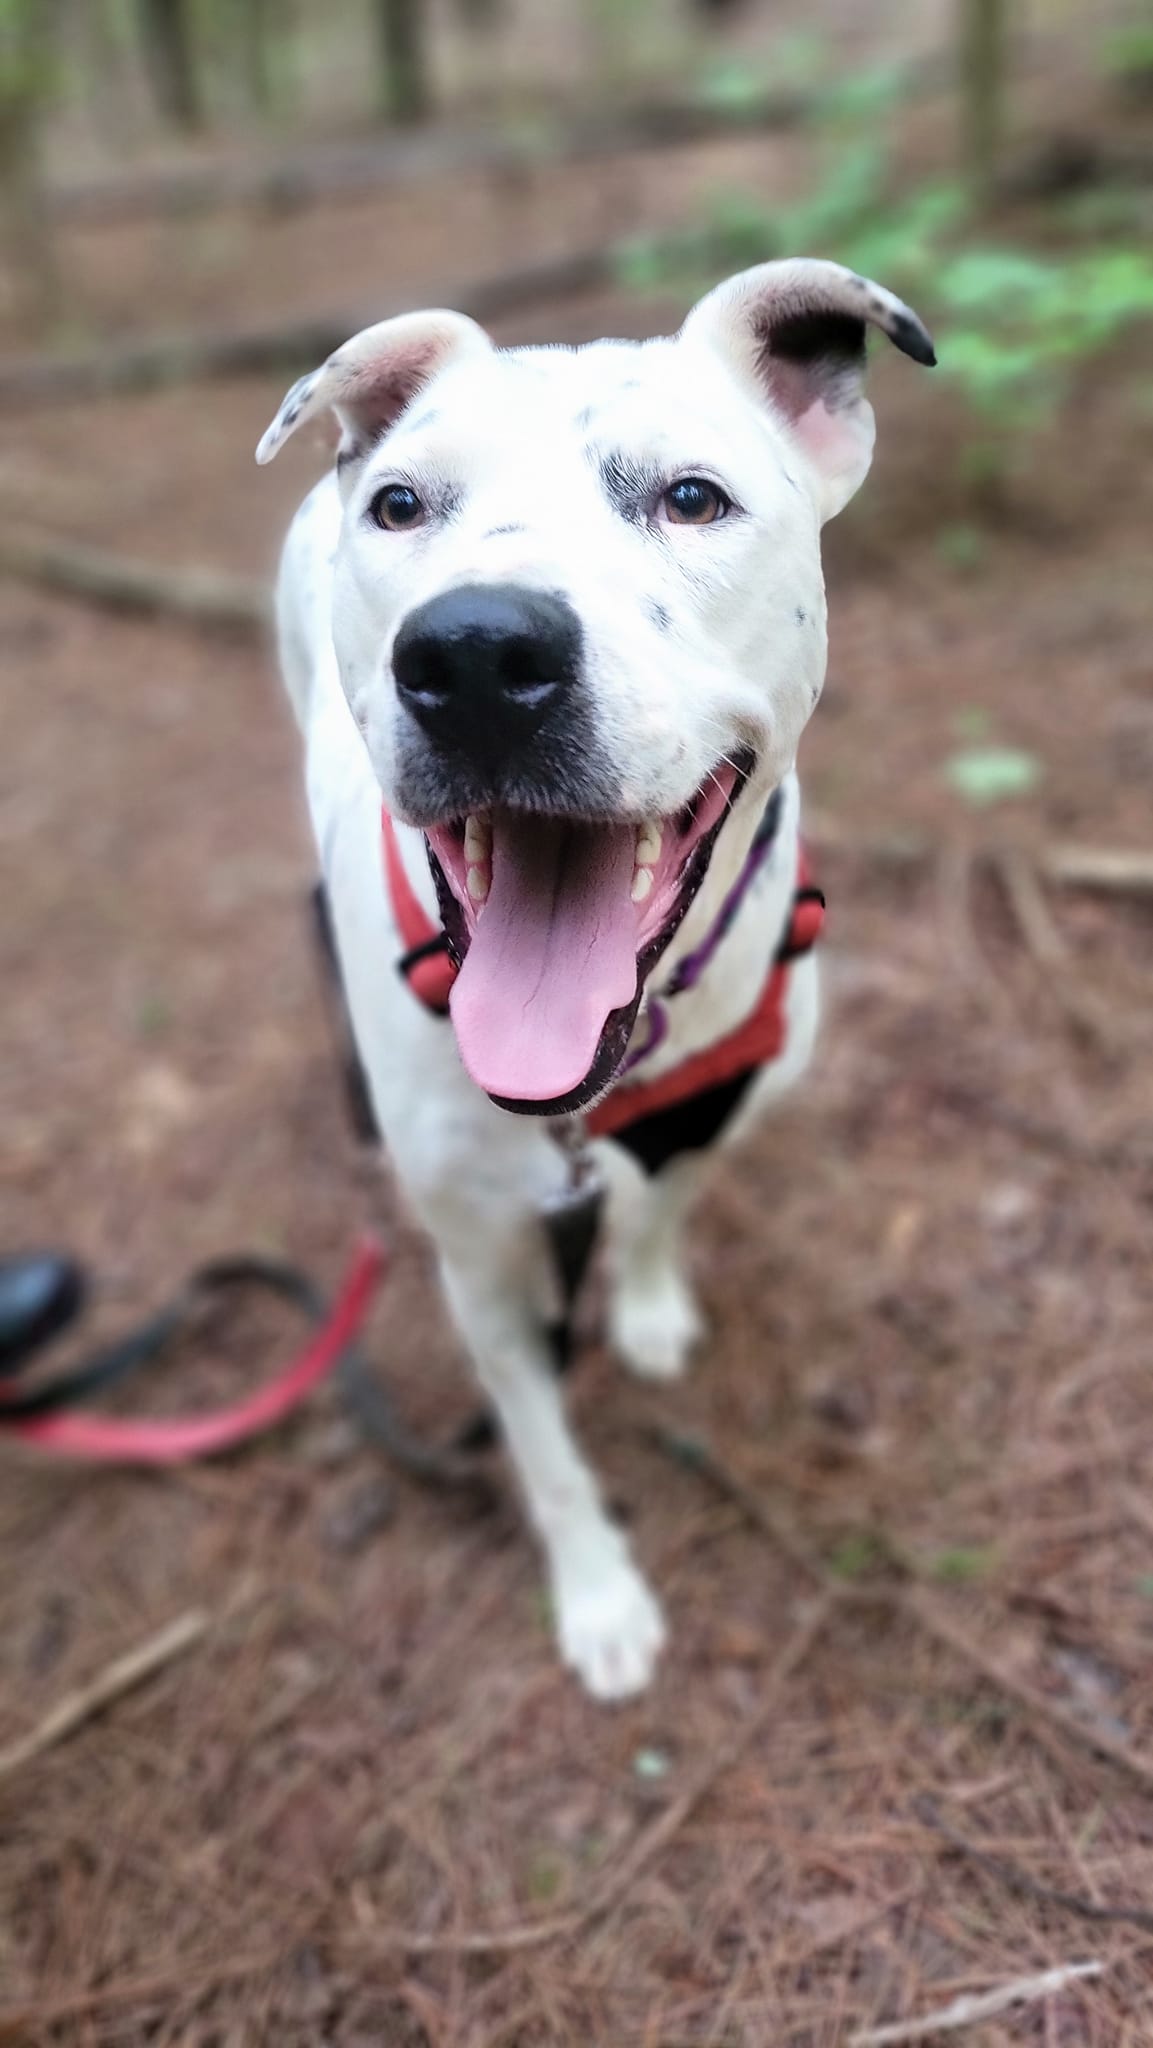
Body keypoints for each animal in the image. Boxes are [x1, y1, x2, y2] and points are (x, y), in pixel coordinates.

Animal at [257, 260, 933, 1695]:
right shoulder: (484, 1272)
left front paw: (651, 1305)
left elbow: (664, 1214)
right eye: (403, 506)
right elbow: (546, 1455)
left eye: (692, 497)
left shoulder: (711, 1117)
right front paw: (601, 1598)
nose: (471, 654)